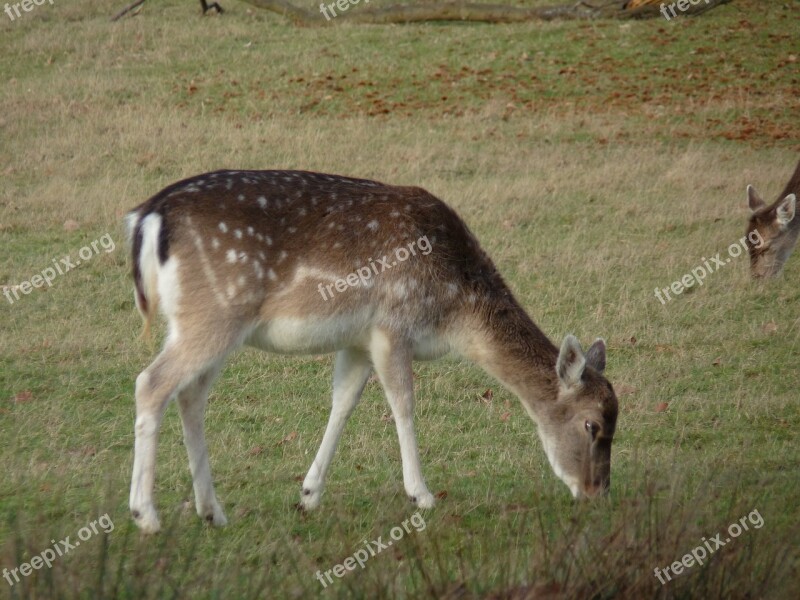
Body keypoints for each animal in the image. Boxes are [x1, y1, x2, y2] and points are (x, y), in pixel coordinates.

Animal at [126, 166, 620, 532]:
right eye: (592, 425)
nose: (597, 492)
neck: (455, 313)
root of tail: (148, 217)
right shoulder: (392, 326)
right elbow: (403, 404)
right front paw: (422, 494)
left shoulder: (358, 342)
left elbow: (342, 402)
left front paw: (309, 494)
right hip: (214, 314)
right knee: (151, 383)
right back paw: (145, 515)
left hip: (204, 324)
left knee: (190, 394)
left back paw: (212, 511)